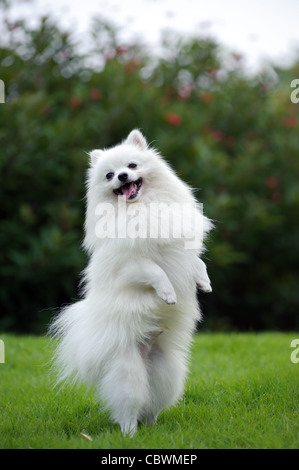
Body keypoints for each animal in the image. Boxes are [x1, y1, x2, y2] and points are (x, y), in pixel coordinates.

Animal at [49, 129, 213, 436]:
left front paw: (204, 283)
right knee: (128, 407)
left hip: (167, 371)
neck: (142, 208)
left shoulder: (181, 248)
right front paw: (168, 294)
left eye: (132, 165)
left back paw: (153, 426)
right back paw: (130, 433)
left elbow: (197, 263)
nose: (122, 176)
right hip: (127, 371)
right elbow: (156, 271)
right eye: (109, 175)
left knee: (152, 404)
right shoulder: (131, 266)